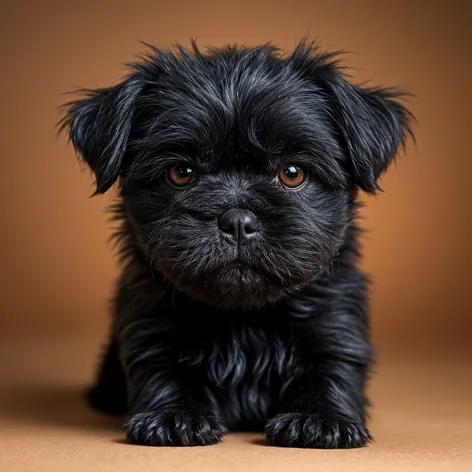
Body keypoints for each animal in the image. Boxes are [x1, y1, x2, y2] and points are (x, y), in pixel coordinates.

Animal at [59, 38, 412, 448]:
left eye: (293, 173)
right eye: (181, 173)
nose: (238, 220)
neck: (244, 321)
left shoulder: (337, 325)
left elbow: (332, 371)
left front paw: (320, 420)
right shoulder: (150, 324)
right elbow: (164, 371)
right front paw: (173, 416)